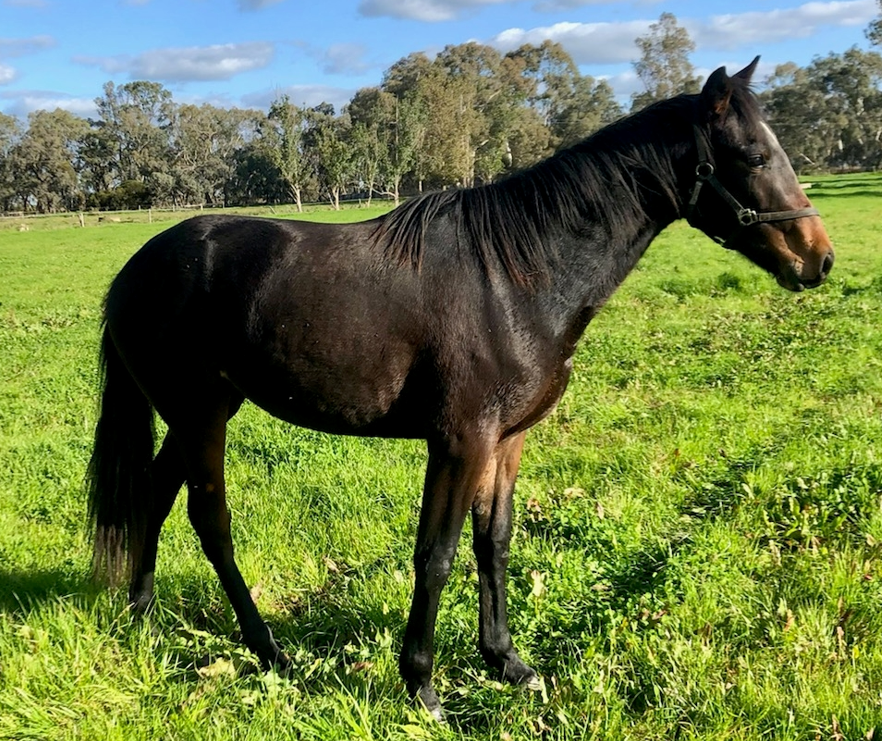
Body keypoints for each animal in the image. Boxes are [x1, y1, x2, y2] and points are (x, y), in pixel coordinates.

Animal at [87, 58, 833, 721]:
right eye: (751, 155)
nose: (818, 258)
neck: (514, 278)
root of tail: (133, 269)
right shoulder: (459, 441)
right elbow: (436, 554)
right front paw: (421, 683)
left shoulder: (506, 441)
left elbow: (493, 542)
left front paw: (505, 661)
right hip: (199, 414)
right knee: (210, 521)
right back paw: (267, 647)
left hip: (202, 410)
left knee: (154, 494)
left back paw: (143, 611)